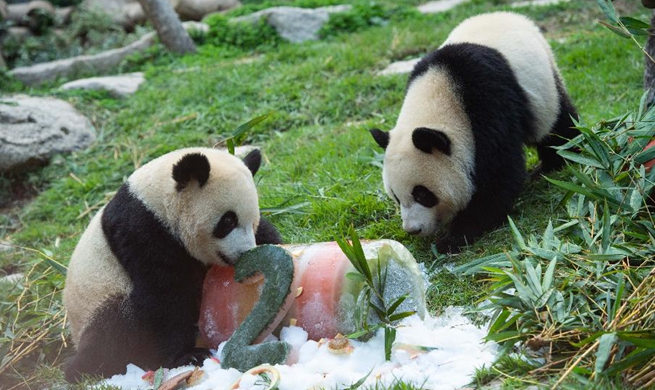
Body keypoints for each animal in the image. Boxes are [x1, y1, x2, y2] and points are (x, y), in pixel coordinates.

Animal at [62, 146, 284, 380]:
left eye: (253, 221)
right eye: (228, 221)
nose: (245, 253)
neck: (156, 201)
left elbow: (267, 234)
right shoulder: (143, 233)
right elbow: (165, 296)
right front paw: (188, 356)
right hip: (99, 299)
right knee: (113, 328)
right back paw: (82, 368)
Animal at [368, 11, 580, 253]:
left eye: (422, 194)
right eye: (395, 196)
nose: (413, 229)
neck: (442, 90)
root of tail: (509, 15)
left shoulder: (488, 100)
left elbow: (500, 172)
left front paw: (454, 237)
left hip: (544, 84)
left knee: (556, 125)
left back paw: (557, 161)